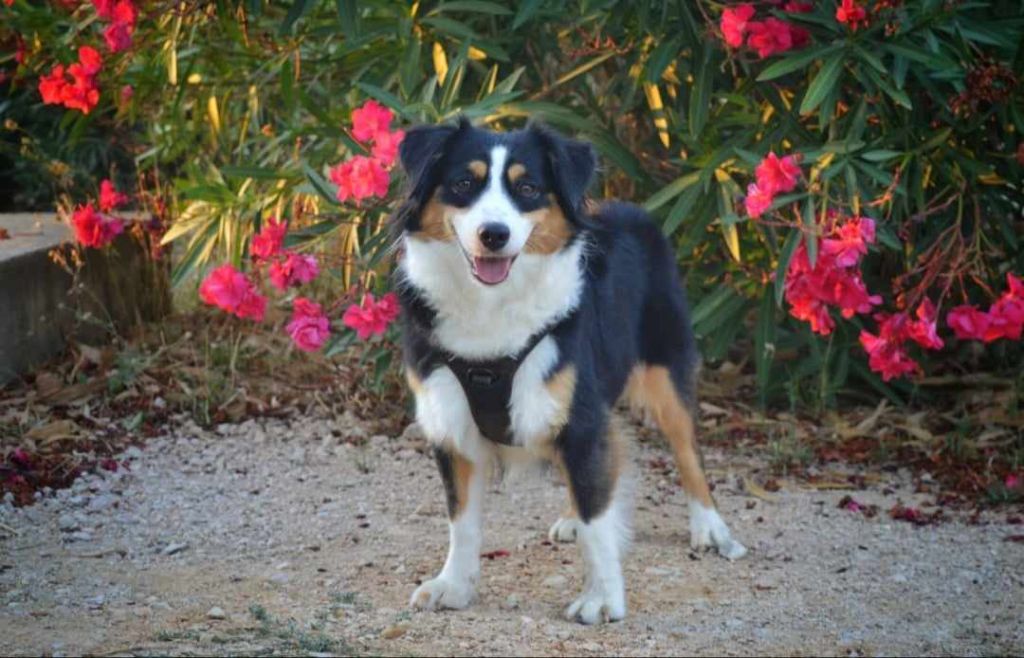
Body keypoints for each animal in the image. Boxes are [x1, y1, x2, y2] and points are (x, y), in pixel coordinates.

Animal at [391, 118, 745, 626]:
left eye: (527, 188)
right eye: (462, 183)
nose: (494, 234)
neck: (491, 307)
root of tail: (631, 209)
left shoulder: (581, 416)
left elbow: (599, 520)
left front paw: (602, 597)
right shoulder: (452, 423)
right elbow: (462, 521)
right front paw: (453, 585)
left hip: (665, 368)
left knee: (687, 449)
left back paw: (710, 525)